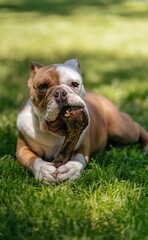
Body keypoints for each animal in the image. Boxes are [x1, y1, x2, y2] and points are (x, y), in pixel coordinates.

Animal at [15, 58, 148, 184]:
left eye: (74, 84)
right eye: (42, 86)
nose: (60, 93)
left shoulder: (82, 146)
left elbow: (79, 158)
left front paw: (71, 170)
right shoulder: (22, 149)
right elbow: (33, 159)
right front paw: (43, 170)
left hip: (121, 130)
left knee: (137, 127)